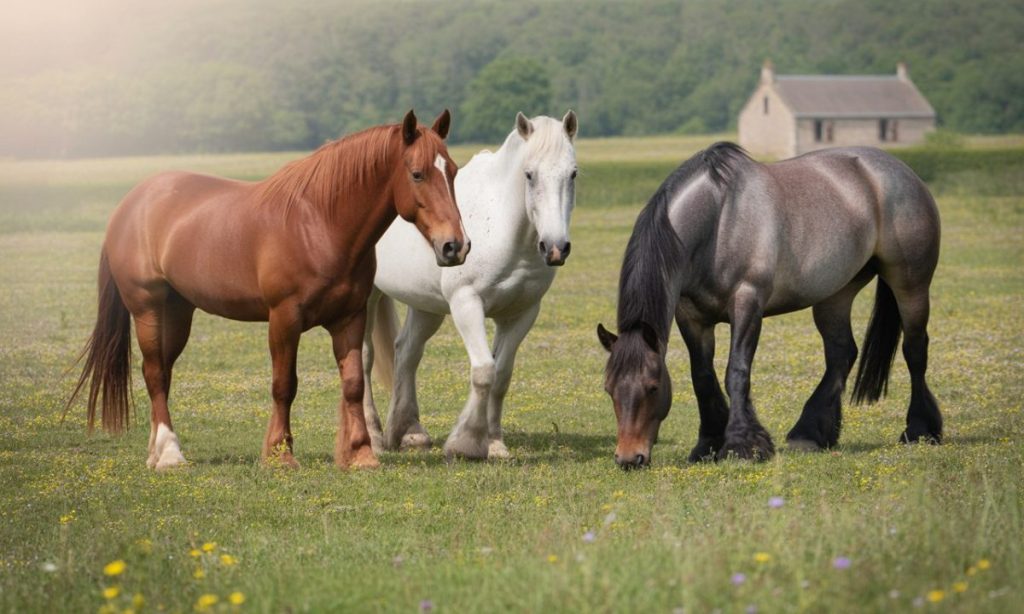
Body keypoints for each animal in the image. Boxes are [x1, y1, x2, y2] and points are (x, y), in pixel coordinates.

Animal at [67, 110, 469, 470]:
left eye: (452, 171)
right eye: (417, 173)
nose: (455, 246)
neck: (319, 223)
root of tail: (131, 203)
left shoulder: (350, 318)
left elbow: (353, 382)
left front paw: (360, 455)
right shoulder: (284, 319)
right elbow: (283, 385)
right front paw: (280, 455)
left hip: (178, 313)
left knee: (162, 374)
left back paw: (156, 453)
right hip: (148, 309)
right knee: (153, 372)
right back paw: (170, 455)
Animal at [362, 111, 578, 460]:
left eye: (573, 173)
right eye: (529, 175)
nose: (556, 248)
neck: (504, 227)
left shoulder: (522, 313)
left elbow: (501, 375)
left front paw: (495, 444)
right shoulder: (467, 304)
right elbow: (484, 371)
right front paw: (465, 442)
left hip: (425, 306)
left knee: (406, 351)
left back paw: (409, 433)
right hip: (368, 297)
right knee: (364, 357)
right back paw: (374, 437)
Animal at [597, 142, 942, 468]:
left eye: (653, 387)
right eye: (609, 389)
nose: (629, 458)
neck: (719, 220)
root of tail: (902, 172)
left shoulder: (748, 303)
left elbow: (736, 371)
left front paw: (742, 445)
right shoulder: (691, 316)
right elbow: (702, 376)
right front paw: (708, 444)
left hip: (910, 285)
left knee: (914, 350)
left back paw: (920, 430)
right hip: (836, 294)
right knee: (841, 353)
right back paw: (810, 433)